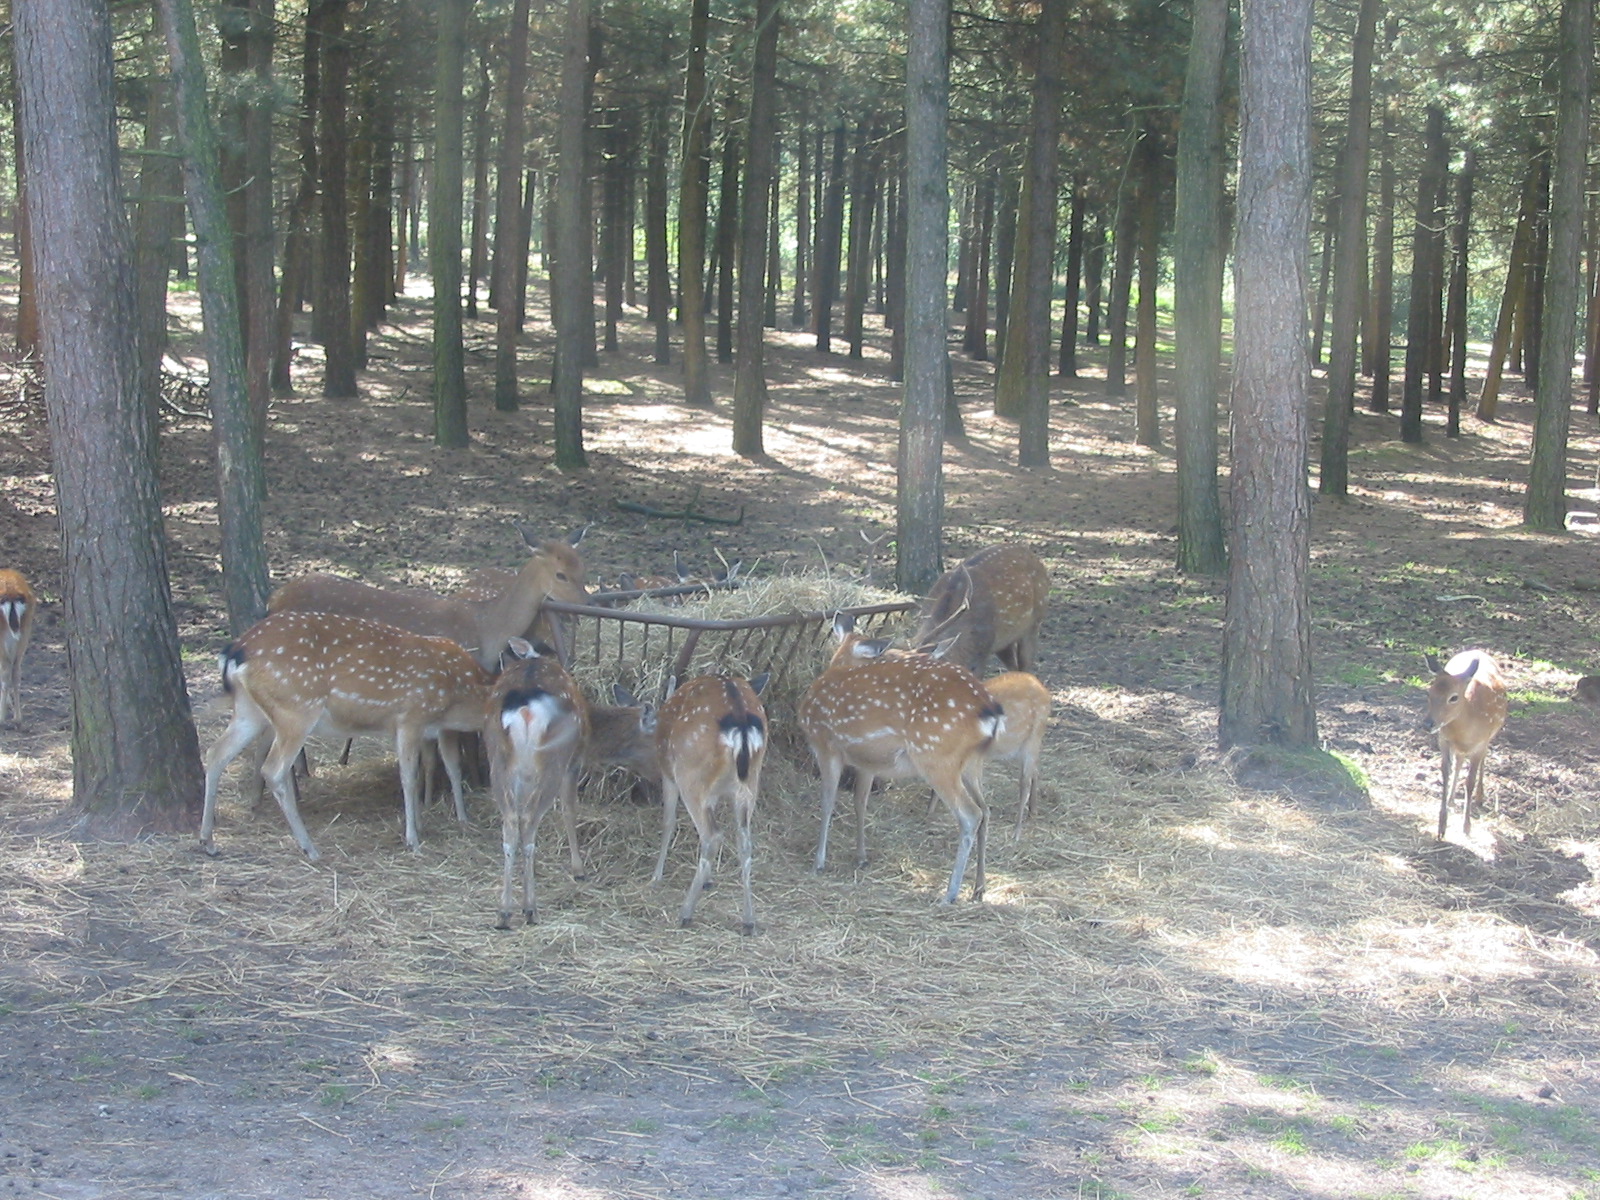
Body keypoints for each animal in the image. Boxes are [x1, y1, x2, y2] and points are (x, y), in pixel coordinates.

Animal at [199, 611, 494, 862]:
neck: (458, 693)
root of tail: (236, 651)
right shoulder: (410, 716)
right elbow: (408, 777)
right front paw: (413, 839)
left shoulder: (429, 729)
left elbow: (447, 767)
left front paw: (452, 820)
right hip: (296, 707)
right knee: (273, 769)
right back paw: (310, 848)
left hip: (249, 710)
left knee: (216, 753)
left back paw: (208, 842)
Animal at [483, 640, 591, 929]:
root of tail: (525, 710)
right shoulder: (574, 762)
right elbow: (569, 809)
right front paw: (579, 869)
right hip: (555, 759)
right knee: (529, 821)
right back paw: (529, 909)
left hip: (498, 763)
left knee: (511, 824)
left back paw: (504, 913)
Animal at [647, 672, 769, 933]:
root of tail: (740, 721)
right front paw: (709, 880)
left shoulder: (668, 775)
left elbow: (668, 821)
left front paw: (656, 877)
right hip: (750, 783)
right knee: (743, 840)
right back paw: (749, 921)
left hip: (689, 775)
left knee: (712, 836)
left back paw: (685, 914)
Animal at [800, 612, 1004, 905]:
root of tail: (990, 712)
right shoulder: (867, 761)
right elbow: (860, 801)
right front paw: (861, 856)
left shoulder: (826, 744)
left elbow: (827, 802)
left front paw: (819, 862)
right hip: (972, 762)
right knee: (986, 810)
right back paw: (979, 887)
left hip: (935, 756)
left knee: (970, 814)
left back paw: (950, 893)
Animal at [1422, 650, 1510, 839]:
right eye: (1429, 693)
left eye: (1453, 697)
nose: (1428, 724)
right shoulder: (1444, 739)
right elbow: (1446, 773)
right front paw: (1441, 826)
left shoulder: (1480, 743)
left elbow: (1470, 781)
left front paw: (1467, 827)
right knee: (1459, 762)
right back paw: (1451, 800)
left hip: (1489, 737)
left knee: (1483, 759)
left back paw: (1480, 796)